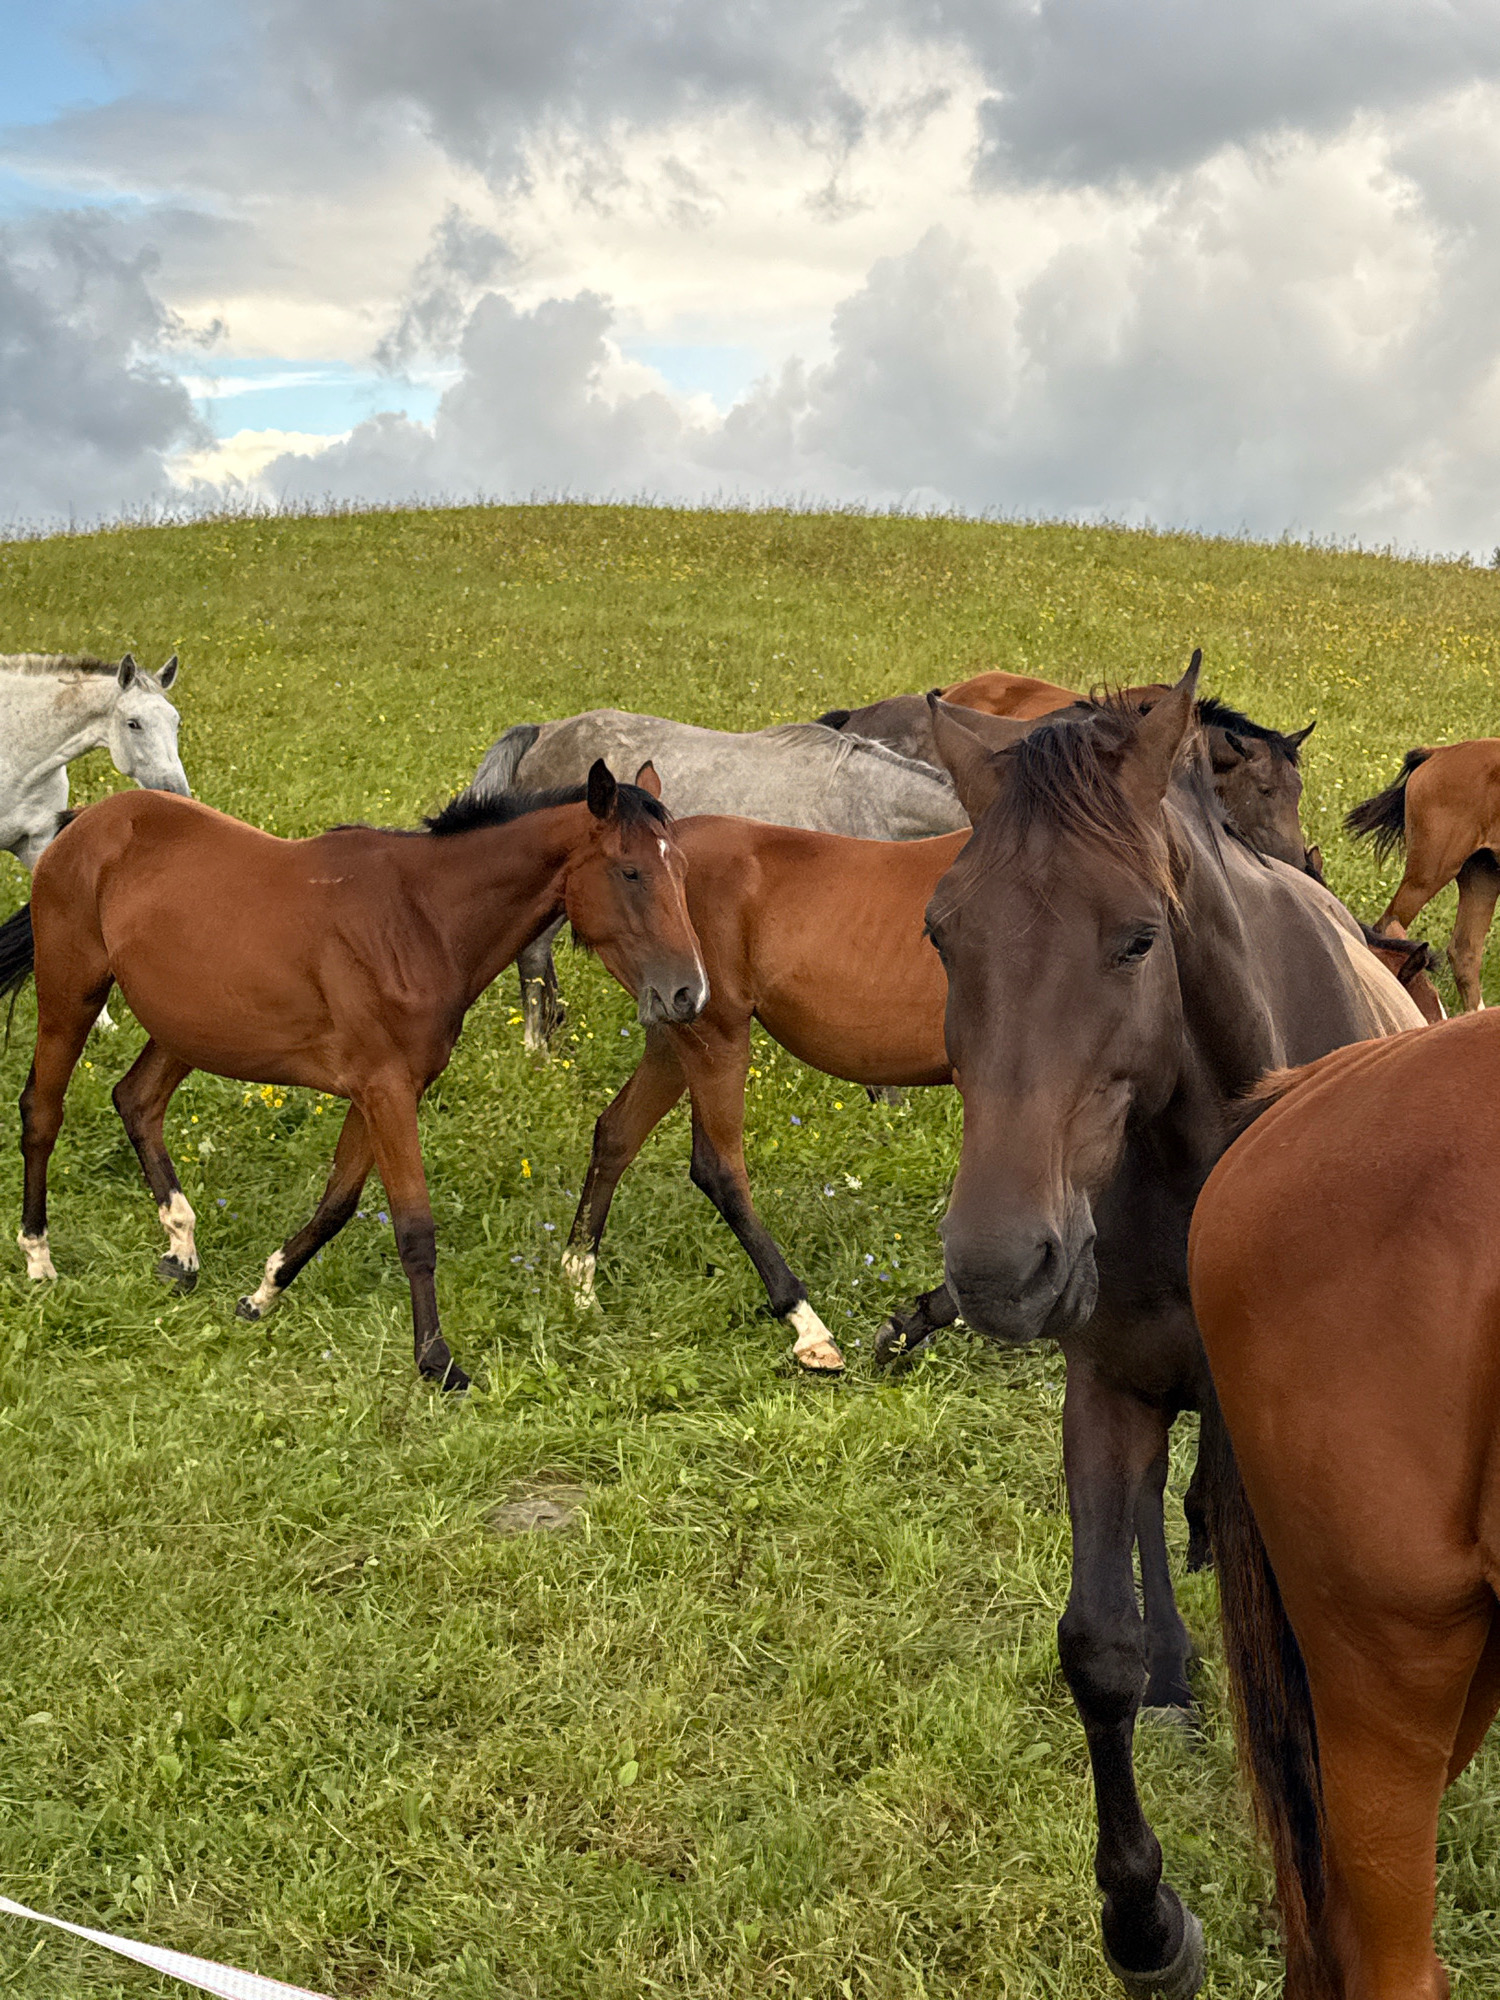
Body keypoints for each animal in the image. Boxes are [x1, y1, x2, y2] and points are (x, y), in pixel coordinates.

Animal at [0, 762, 706, 1391]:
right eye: (630, 871)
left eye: (682, 872)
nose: (687, 994)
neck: (420, 920)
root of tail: (84, 824)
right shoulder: (385, 1091)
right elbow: (414, 1227)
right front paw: (437, 1363)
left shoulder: (382, 1093)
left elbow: (338, 1203)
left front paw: (264, 1292)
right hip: (71, 995)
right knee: (42, 1111)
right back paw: (38, 1257)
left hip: (187, 1028)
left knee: (137, 1101)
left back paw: (181, 1249)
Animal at [921, 663, 1422, 1996]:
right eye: (942, 932)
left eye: (1138, 935)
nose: (999, 1265)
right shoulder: (1110, 1386)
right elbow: (1095, 1642)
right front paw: (1146, 1921)